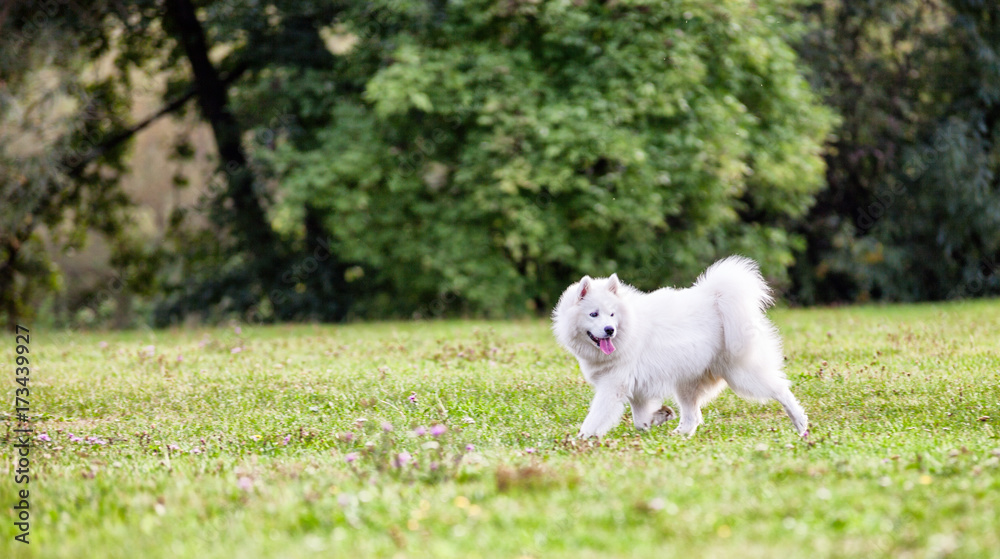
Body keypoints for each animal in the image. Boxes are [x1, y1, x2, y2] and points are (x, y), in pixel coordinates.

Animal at [552, 256, 808, 440]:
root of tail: (716, 299)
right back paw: (679, 434)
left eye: (612, 315)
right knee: (692, 416)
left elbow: (596, 417)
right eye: (594, 314)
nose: (609, 330)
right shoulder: (635, 390)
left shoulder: (612, 386)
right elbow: (640, 421)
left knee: (780, 389)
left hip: (742, 375)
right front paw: (659, 417)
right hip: (686, 382)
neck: (630, 328)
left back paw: (801, 423)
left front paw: (580, 439)